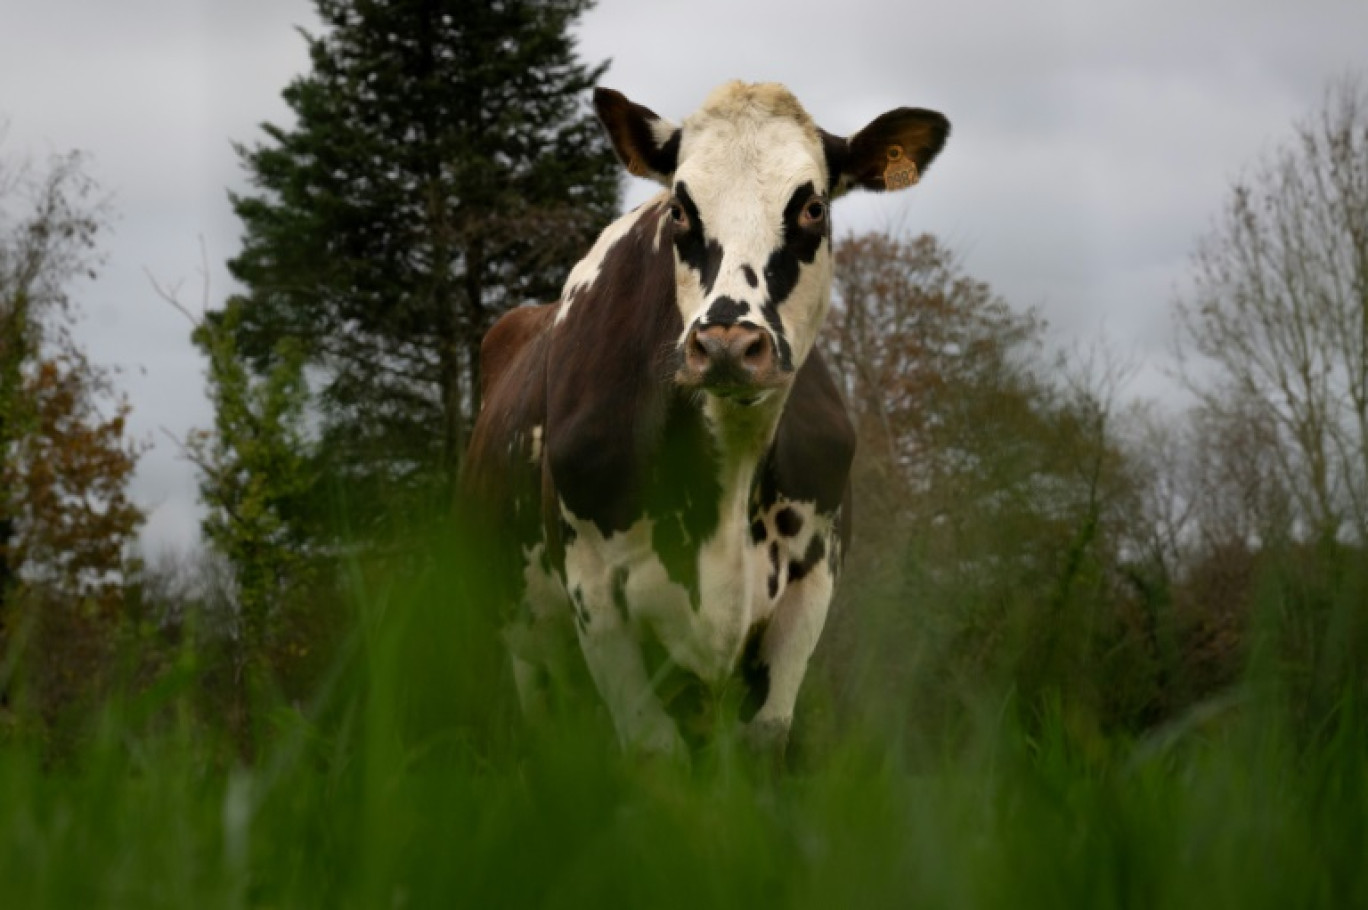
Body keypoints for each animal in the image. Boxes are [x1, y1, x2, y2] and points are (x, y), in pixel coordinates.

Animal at [465, 81, 946, 755]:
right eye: (679, 209)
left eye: (812, 207)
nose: (725, 344)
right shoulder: (596, 599)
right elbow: (651, 753)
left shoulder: (807, 589)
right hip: (525, 641)